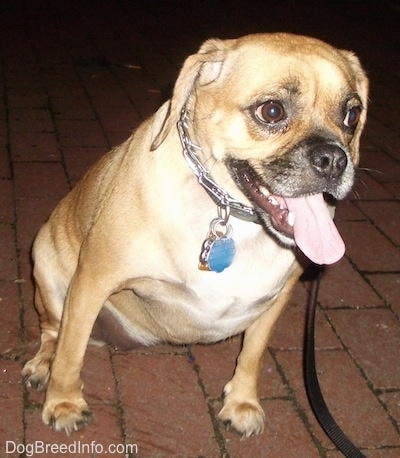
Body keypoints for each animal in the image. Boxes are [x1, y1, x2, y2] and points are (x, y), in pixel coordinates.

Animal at [21, 33, 368, 436]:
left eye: (351, 115)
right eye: (271, 111)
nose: (335, 160)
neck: (229, 213)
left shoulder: (277, 298)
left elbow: (253, 353)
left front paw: (242, 402)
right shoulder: (92, 280)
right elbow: (70, 355)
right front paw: (64, 403)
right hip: (49, 274)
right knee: (52, 333)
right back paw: (43, 365)